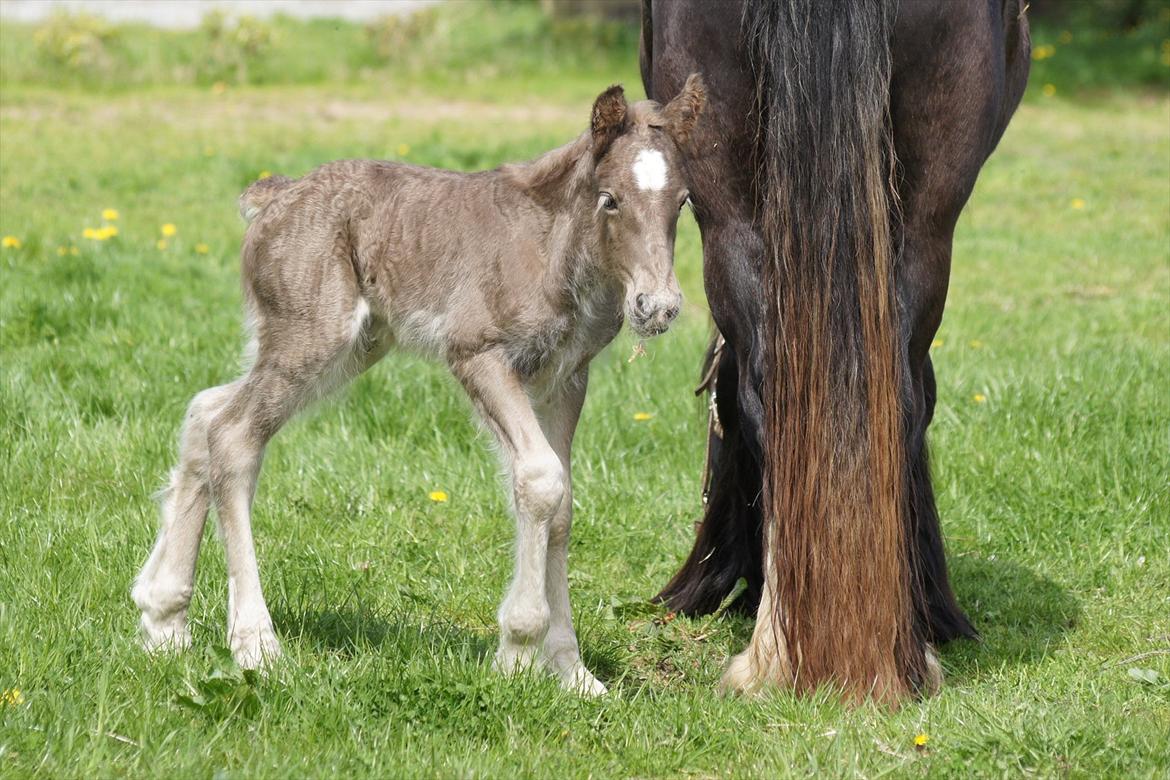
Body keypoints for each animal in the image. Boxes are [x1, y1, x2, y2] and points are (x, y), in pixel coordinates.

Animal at [133, 74, 706, 696]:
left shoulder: (564, 378)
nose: (658, 306)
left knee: (206, 412)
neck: (554, 245)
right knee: (234, 435)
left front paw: (572, 672)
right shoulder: (478, 355)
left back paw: (163, 617)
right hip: (312, 336)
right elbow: (541, 480)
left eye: (683, 202)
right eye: (610, 199)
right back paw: (257, 644)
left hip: (353, 344)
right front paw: (518, 651)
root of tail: (277, 196)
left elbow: (565, 502)